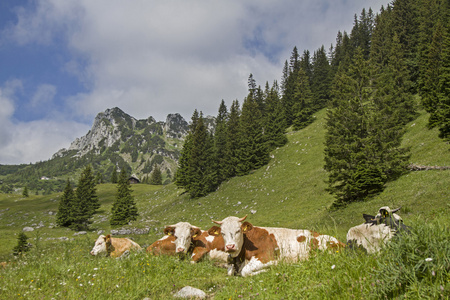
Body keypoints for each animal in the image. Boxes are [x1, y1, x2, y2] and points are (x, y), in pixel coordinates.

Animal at [211, 216, 344, 276]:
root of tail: (340, 242)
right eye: (222, 233)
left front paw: (268, 269)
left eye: (238, 230)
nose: (230, 246)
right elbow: (230, 271)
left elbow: (245, 271)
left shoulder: (267, 258)